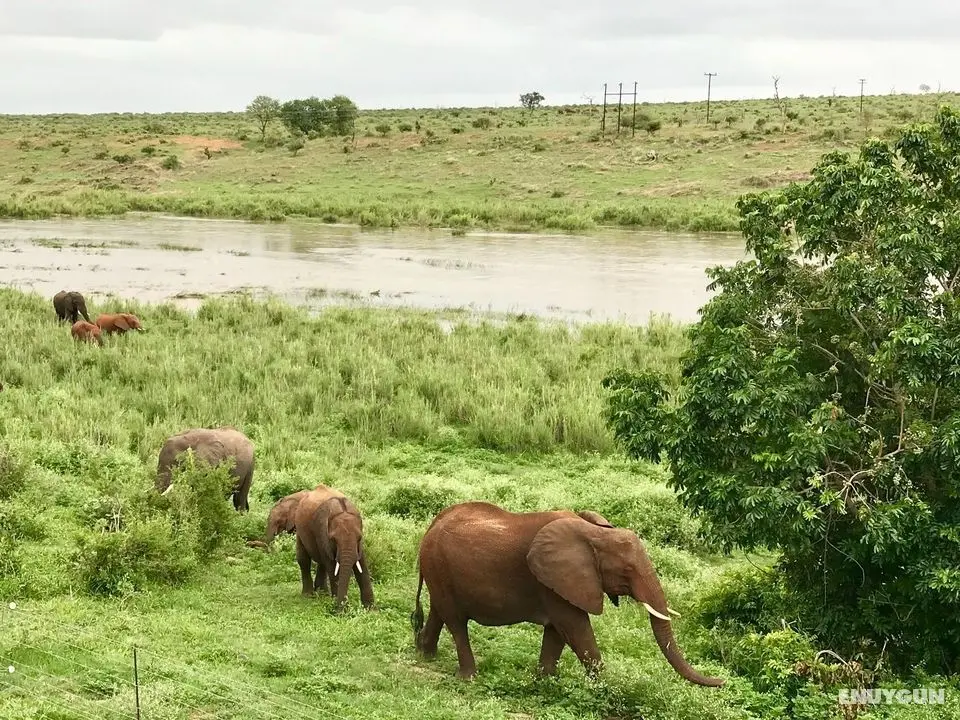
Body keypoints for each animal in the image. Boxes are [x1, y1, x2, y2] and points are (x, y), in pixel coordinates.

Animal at [411, 501, 724, 687]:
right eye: (627, 571)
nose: (722, 681)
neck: (595, 532)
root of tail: (432, 524)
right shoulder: (552, 582)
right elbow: (576, 628)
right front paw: (605, 690)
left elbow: (557, 633)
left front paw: (545, 683)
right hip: (439, 564)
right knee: (456, 622)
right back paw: (469, 678)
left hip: (439, 569)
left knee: (439, 611)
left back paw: (425, 653)